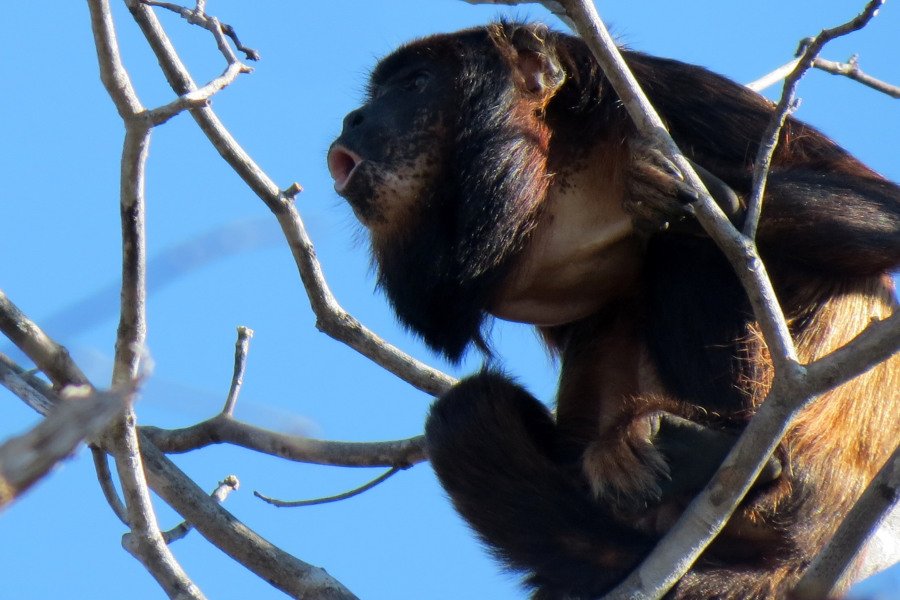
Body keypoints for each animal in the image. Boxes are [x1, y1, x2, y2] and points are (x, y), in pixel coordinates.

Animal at [328, 21, 900, 600]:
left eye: (415, 84)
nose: (353, 118)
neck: (563, 158)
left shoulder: (663, 93)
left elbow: (887, 209)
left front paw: (711, 195)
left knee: (684, 245)